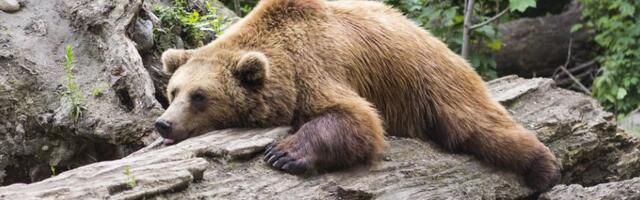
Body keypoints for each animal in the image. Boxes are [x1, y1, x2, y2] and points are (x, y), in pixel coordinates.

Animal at [155, 0, 560, 191]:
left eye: (200, 96)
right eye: (173, 91)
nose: (163, 124)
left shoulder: (316, 67)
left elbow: (357, 118)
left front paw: (283, 153)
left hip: (431, 81)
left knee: (478, 125)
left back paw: (545, 168)